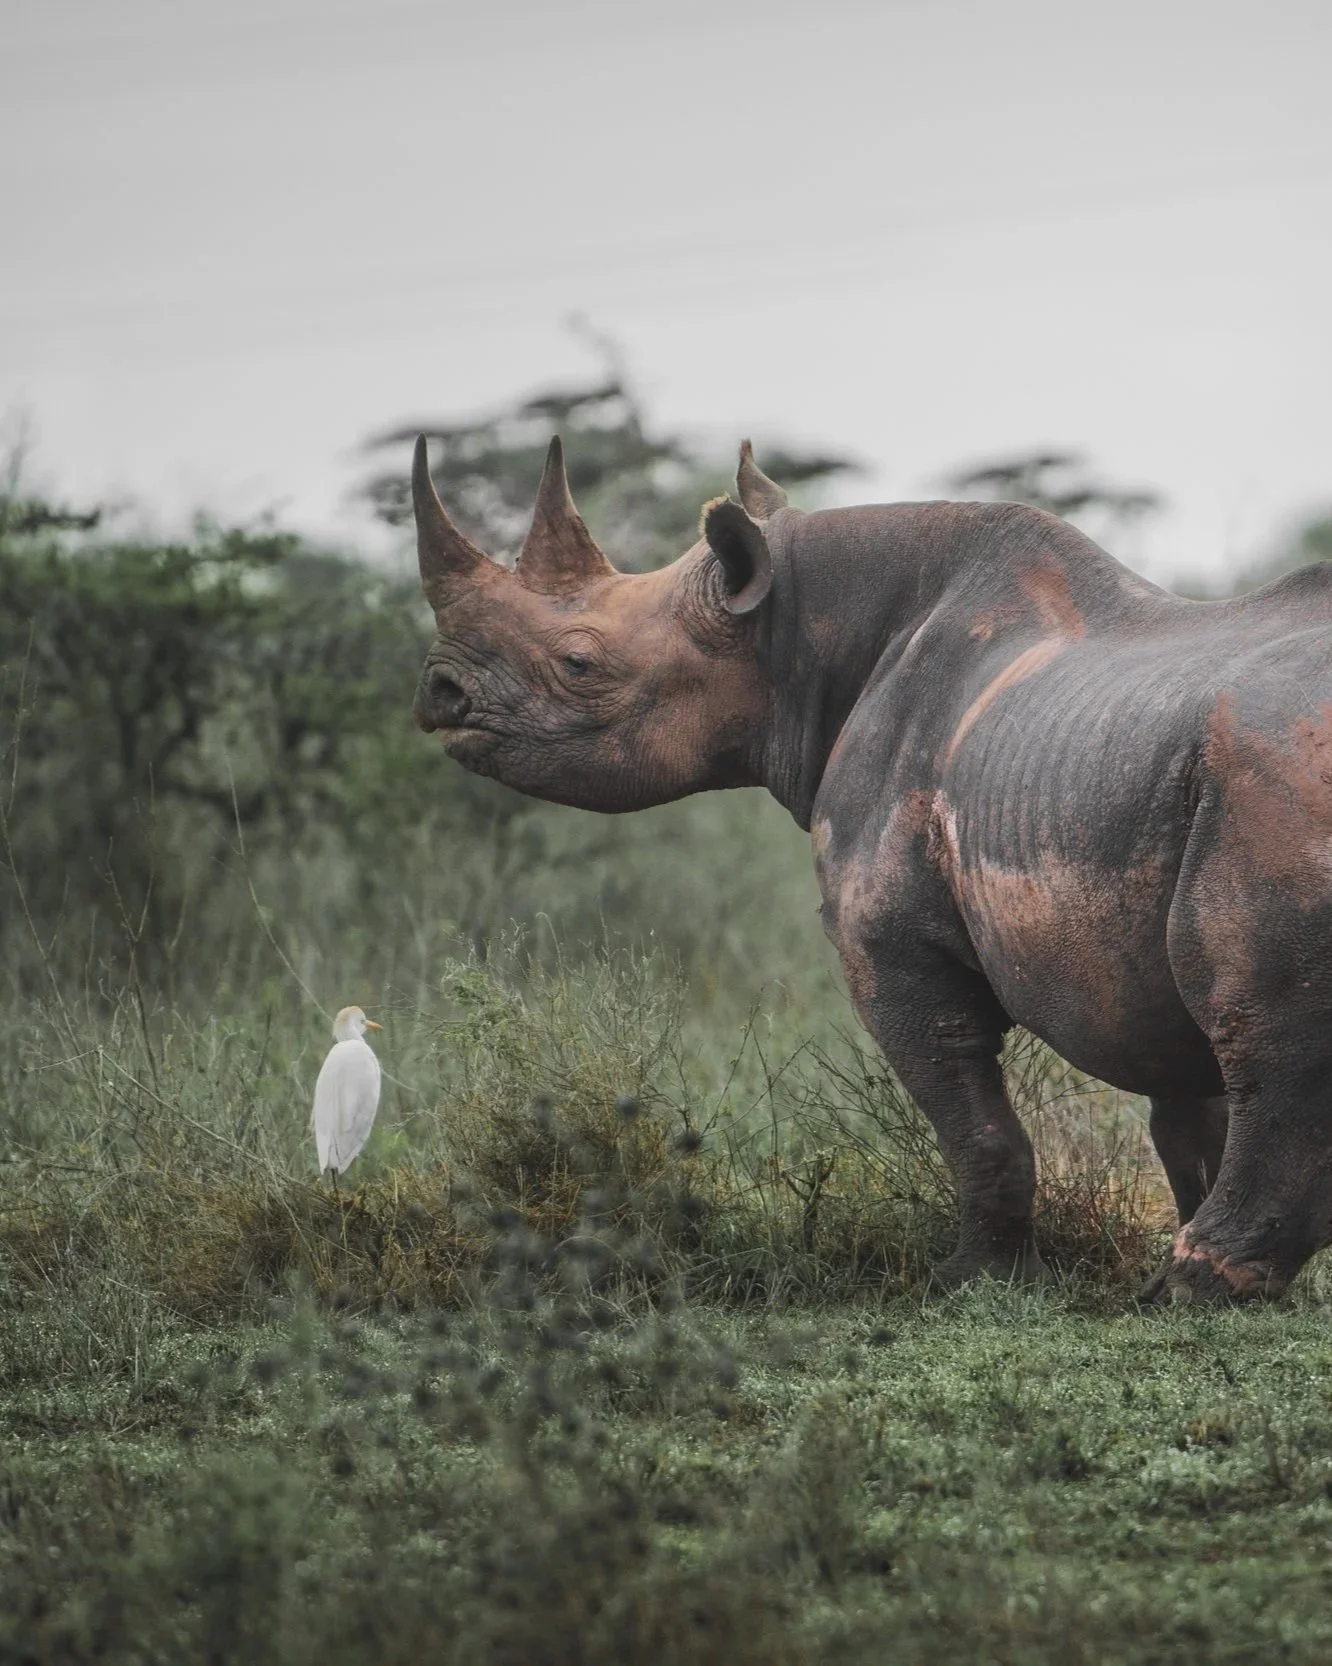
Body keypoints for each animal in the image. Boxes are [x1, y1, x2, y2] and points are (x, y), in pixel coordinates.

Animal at [412, 432, 1332, 1304]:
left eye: (579, 663)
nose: (439, 695)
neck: (789, 632)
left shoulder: (888, 942)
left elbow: (970, 1109)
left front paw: (974, 1280)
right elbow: (1184, 1111)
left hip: (1269, 771)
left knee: (1258, 1024)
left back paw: (1194, 1285)